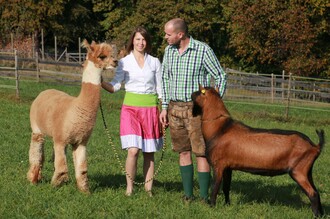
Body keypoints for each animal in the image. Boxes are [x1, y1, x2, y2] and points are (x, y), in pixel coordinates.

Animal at [27, 39, 117, 193]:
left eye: (112, 54)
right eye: (102, 56)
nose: (116, 62)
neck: (77, 109)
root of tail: (44, 92)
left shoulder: (80, 141)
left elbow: (82, 169)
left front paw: (84, 191)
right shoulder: (60, 139)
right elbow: (62, 168)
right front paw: (54, 187)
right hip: (37, 128)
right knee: (36, 151)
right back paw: (33, 179)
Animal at [191, 85, 324, 217]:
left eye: (199, 91)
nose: (191, 93)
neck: (220, 128)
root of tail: (315, 146)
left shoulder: (218, 165)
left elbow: (215, 187)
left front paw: (212, 206)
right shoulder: (227, 166)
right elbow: (226, 187)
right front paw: (227, 204)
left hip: (298, 171)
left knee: (312, 193)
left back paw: (316, 215)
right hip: (307, 171)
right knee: (316, 191)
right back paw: (322, 214)